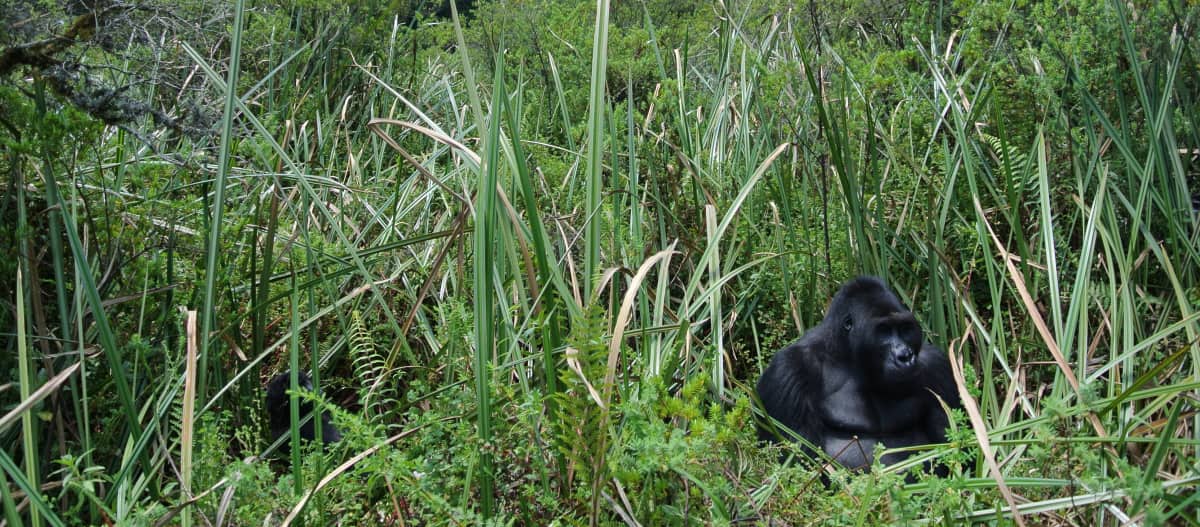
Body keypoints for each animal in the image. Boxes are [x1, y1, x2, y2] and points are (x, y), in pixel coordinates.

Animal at [758, 276, 964, 475]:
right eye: (883, 331)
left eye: (905, 328)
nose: (905, 356)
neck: (845, 354)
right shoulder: (787, 371)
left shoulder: (937, 367)